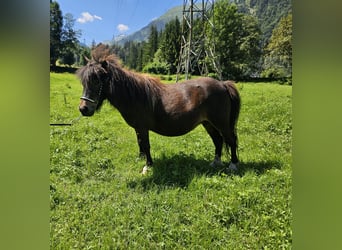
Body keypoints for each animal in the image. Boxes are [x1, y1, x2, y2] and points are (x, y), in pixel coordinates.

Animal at [77, 44, 240, 174]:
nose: (83, 109)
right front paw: (141, 159)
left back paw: (233, 165)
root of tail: (223, 84)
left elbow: (146, 145)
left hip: (221, 123)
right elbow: (140, 143)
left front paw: (148, 166)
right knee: (218, 140)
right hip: (208, 123)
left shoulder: (143, 128)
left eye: (97, 80)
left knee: (230, 139)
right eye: (84, 82)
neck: (135, 95)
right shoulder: (138, 128)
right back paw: (215, 163)